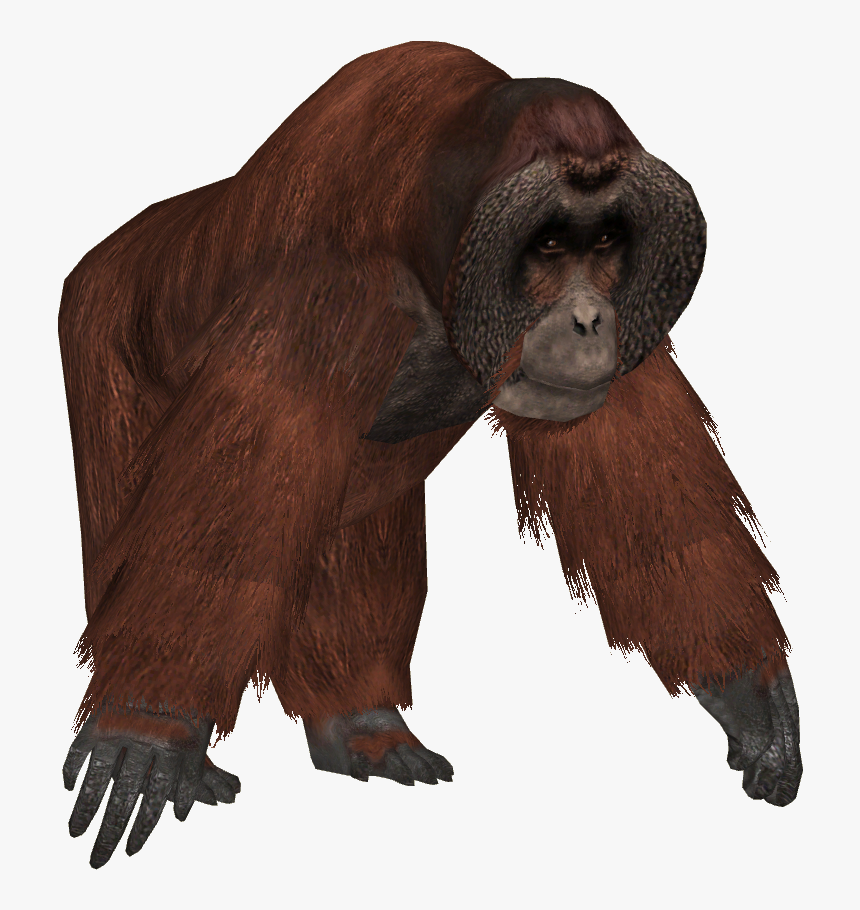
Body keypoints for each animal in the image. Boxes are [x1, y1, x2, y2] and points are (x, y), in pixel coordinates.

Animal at [58, 41, 801, 869]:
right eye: (550, 243)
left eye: (607, 241)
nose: (588, 319)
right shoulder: (321, 300)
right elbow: (220, 532)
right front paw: (147, 732)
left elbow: (658, 523)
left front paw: (750, 694)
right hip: (98, 318)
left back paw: (364, 728)